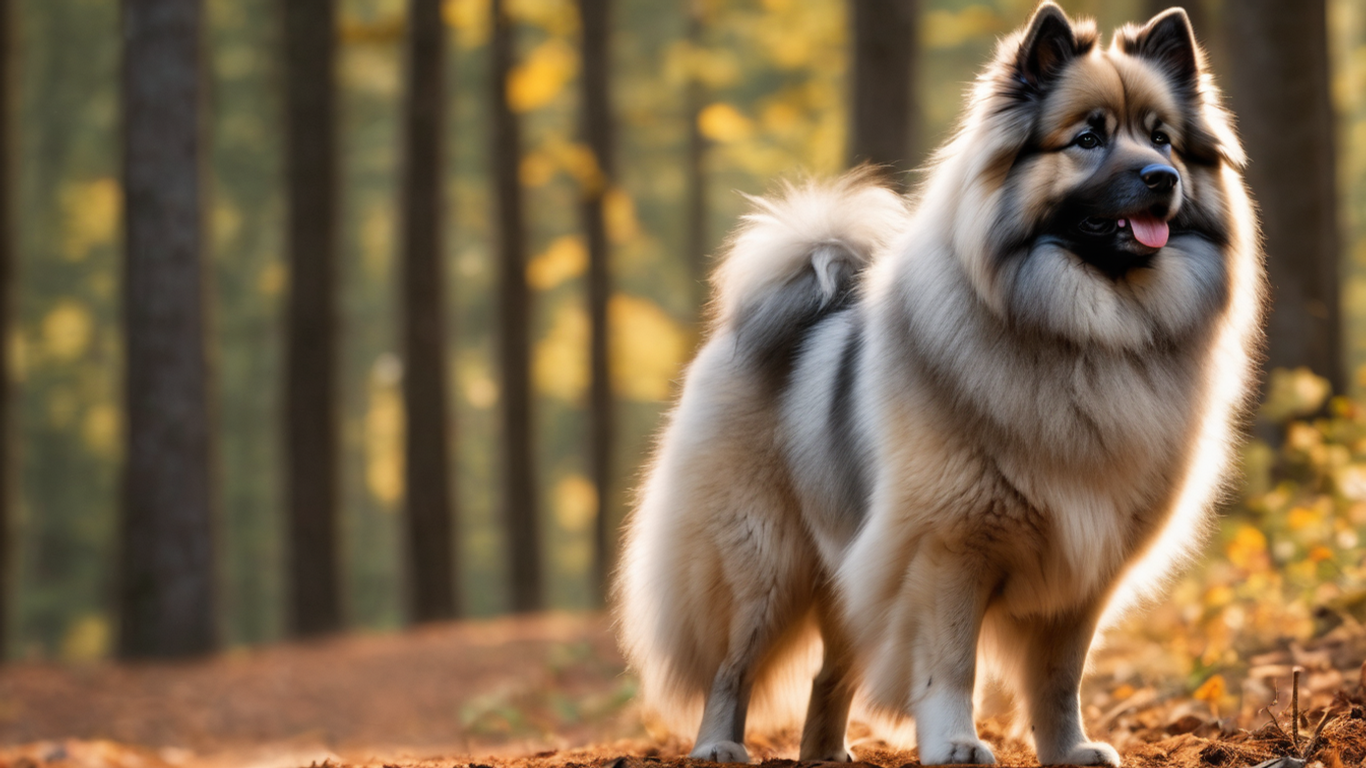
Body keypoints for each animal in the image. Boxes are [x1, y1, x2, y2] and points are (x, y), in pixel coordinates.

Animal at [614, 2, 1262, 759]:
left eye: (1163, 138)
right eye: (1088, 138)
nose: (1162, 177)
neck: (1090, 336)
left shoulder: (1083, 568)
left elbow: (1058, 677)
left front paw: (1068, 749)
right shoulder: (949, 546)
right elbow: (951, 661)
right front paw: (955, 741)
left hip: (845, 569)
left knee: (830, 674)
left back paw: (826, 751)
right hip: (761, 566)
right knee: (732, 664)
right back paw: (720, 744)